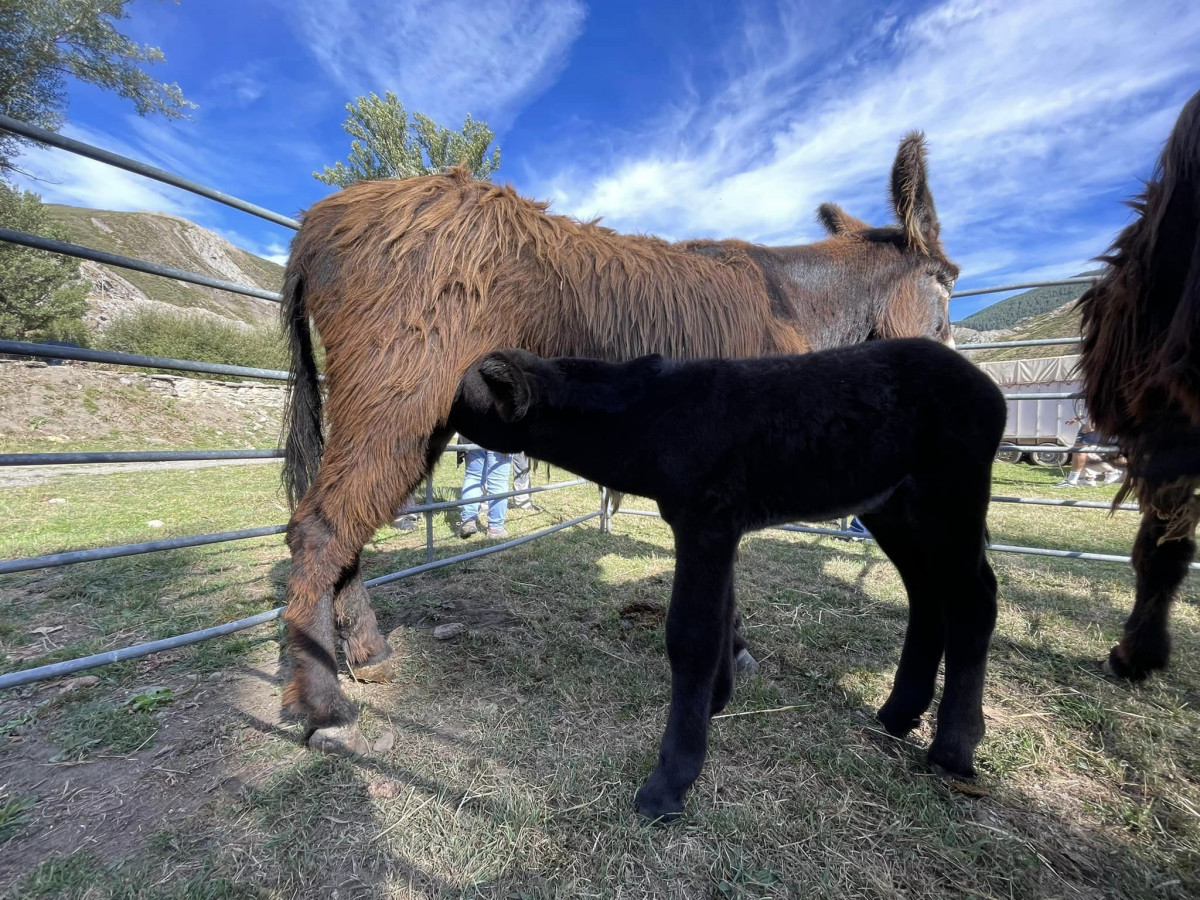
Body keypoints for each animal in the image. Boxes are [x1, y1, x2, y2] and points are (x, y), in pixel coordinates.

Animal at [451, 340, 1003, 825]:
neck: (654, 416)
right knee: (927, 596)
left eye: (464, 399)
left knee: (973, 599)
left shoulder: (706, 521)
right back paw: (897, 715)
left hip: (947, 499)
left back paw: (953, 750)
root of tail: (987, 388)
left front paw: (669, 782)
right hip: (892, 507)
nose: (441, 429)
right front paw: (718, 700)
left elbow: (691, 634)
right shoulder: (720, 529)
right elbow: (720, 618)